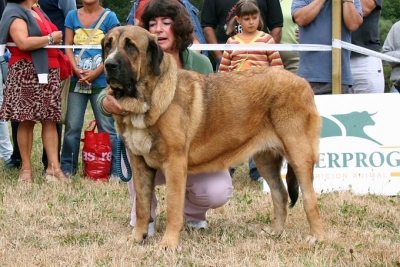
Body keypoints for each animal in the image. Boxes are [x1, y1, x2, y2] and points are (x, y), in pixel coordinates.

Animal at [101, 26, 324, 250]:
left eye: (131, 46)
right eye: (108, 45)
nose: (109, 64)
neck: (144, 98)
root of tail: (302, 81)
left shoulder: (174, 164)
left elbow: (173, 207)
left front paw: (168, 243)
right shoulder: (139, 164)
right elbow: (142, 205)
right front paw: (137, 237)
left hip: (298, 153)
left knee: (309, 198)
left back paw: (316, 236)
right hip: (265, 160)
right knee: (280, 194)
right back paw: (276, 231)